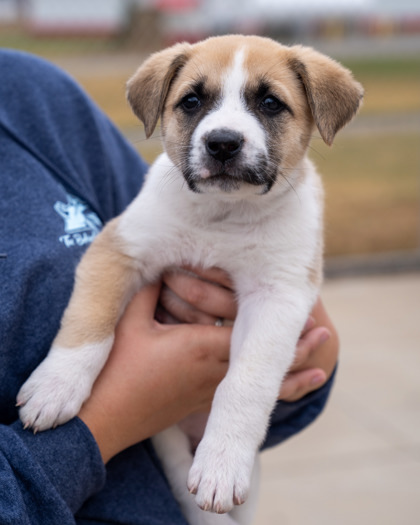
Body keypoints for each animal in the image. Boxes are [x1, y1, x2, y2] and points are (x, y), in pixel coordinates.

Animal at [18, 34, 362, 520]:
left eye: (271, 103)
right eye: (192, 101)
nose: (222, 143)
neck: (223, 215)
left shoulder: (278, 294)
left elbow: (245, 382)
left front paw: (222, 463)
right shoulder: (120, 248)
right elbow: (89, 321)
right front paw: (55, 386)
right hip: (168, 444)